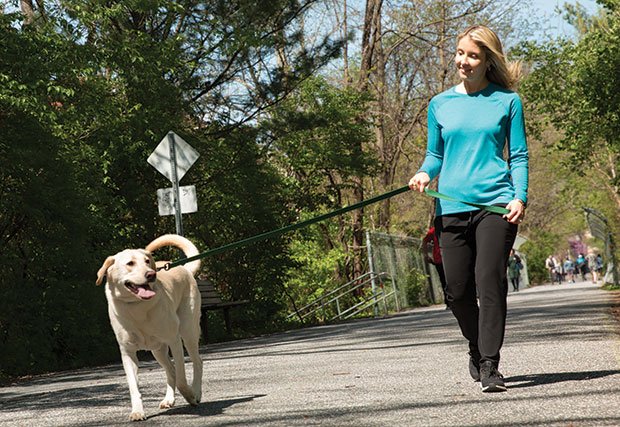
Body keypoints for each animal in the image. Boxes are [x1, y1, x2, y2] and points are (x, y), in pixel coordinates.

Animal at [95, 236, 203, 422]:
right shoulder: (127, 353)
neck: (137, 306)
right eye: (130, 263)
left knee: (197, 362)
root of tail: (184, 268)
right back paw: (168, 399)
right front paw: (137, 411)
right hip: (157, 350)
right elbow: (133, 386)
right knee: (171, 370)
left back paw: (195, 392)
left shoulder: (174, 341)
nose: (151, 274)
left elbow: (182, 378)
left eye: (147, 261)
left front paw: (189, 395)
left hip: (188, 332)